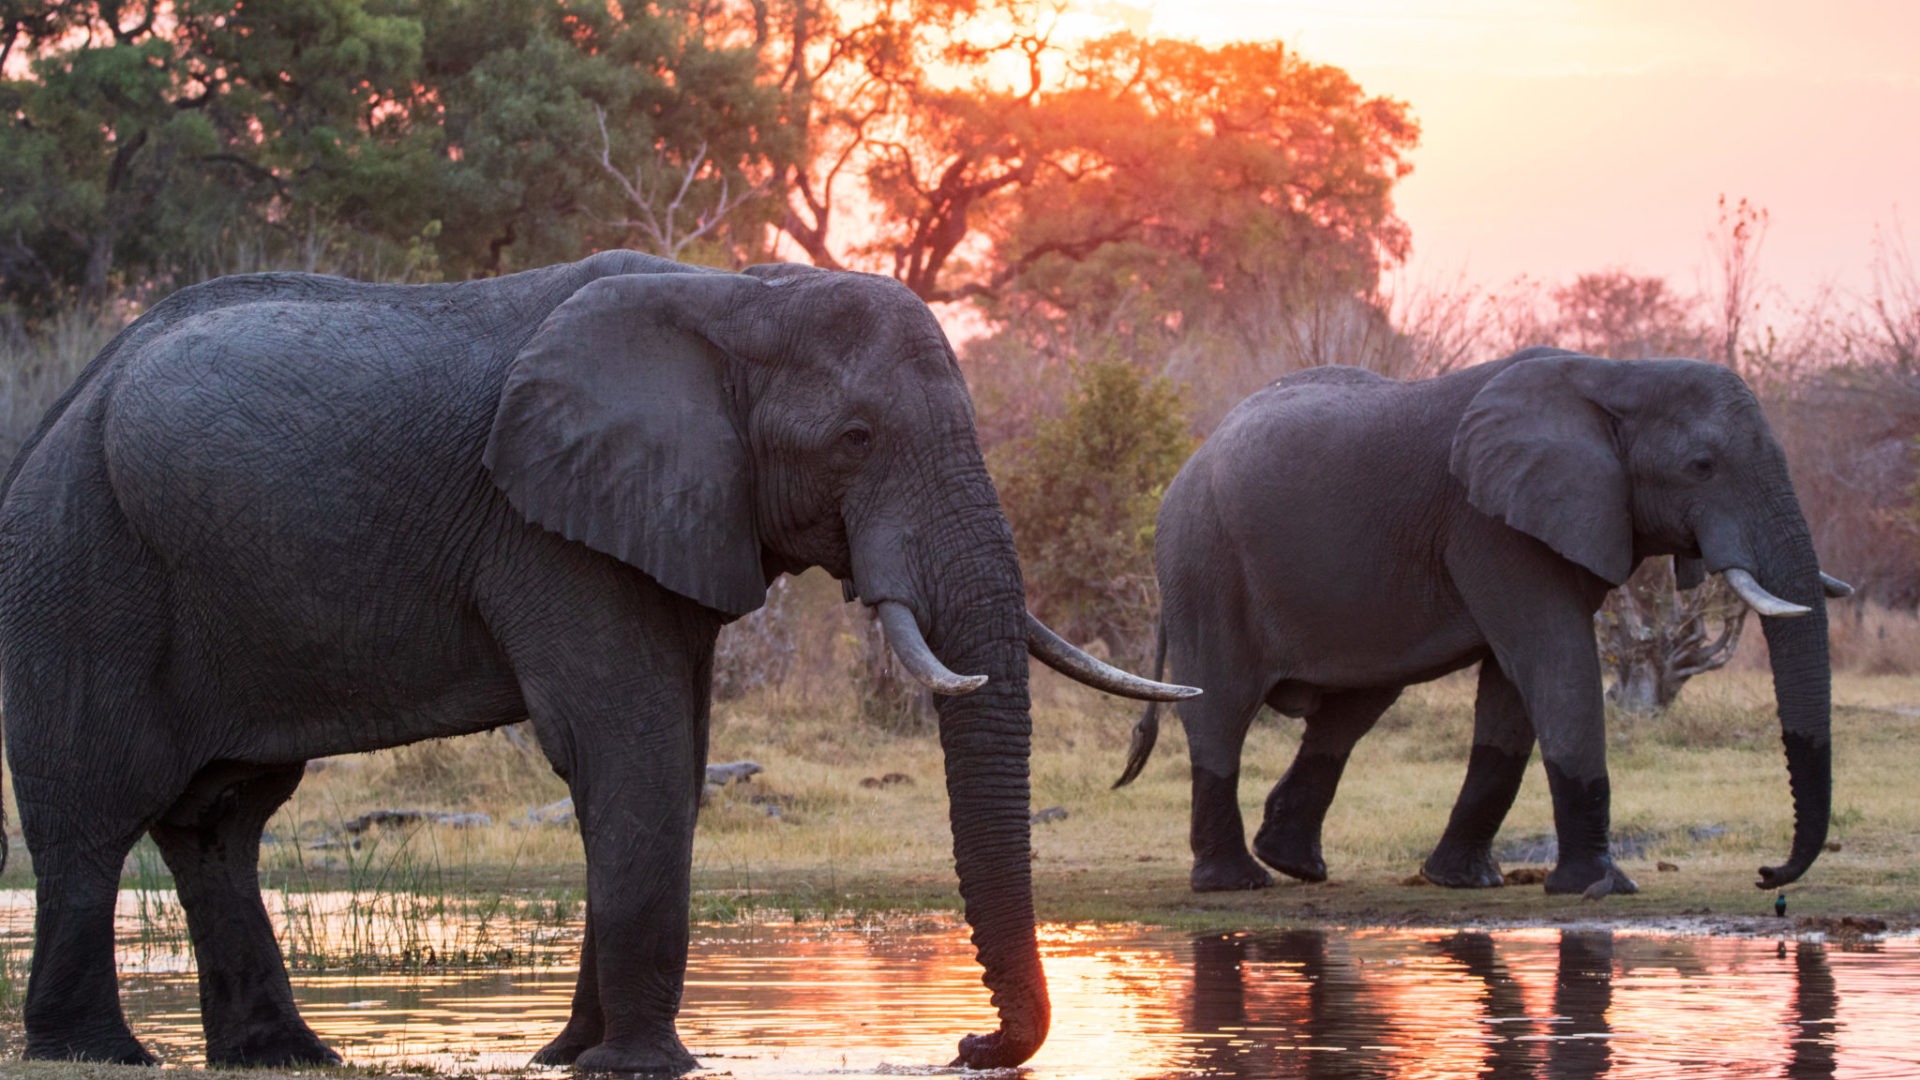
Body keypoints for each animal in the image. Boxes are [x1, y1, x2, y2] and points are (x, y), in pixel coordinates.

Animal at [0, 251, 1197, 1071]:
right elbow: (633, 747)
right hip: (80, 565)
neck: (734, 299)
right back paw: (97, 1052)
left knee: (222, 820)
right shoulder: (551, 531)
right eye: (857, 440)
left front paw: (569, 1055)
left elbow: (665, 754)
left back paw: (287, 1055)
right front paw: (642, 1065)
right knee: (92, 819)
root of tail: (59, 410)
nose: (964, 1047)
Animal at [1116, 348, 1839, 897]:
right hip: (1204, 564)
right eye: (1702, 467)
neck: (1616, 373)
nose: (1767, 874)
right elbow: (1556, 665)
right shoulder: (1491, 526)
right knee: (1221, 710)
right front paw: (1601, 887)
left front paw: (1465, 881)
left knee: (1353, 708)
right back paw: (1236, 881)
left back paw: (1295, 864)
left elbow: (1512, 693)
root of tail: (1189, 460)